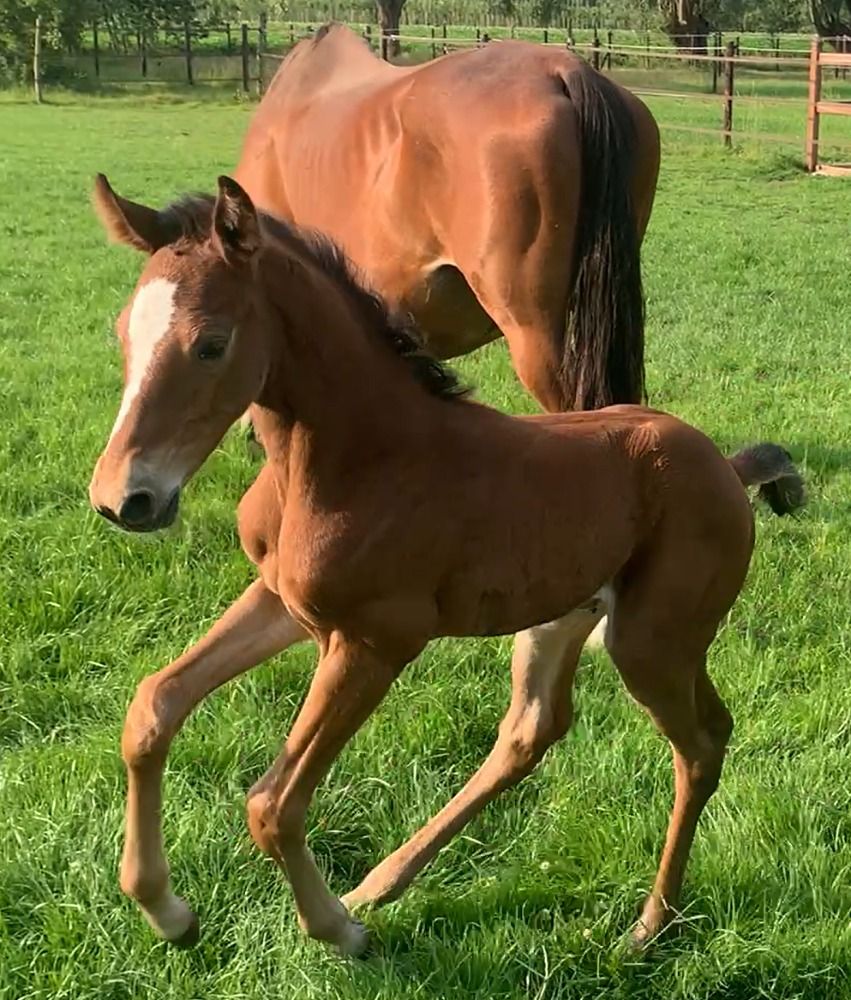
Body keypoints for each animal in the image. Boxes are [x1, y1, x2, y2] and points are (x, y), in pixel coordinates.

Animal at [88, 174, 804, 955]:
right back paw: (380, 883)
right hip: (559, 620)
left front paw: (335, 932)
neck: (360, 458)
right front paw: (168, 911)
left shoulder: (375, 641)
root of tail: (728, 469)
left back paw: (649, 923)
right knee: (532, 732)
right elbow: (154, 705)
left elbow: (273, 802)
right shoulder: (283, 602)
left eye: (211, 344)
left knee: (701, 744)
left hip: (652, 642)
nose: (124, 499)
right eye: (122, 333)